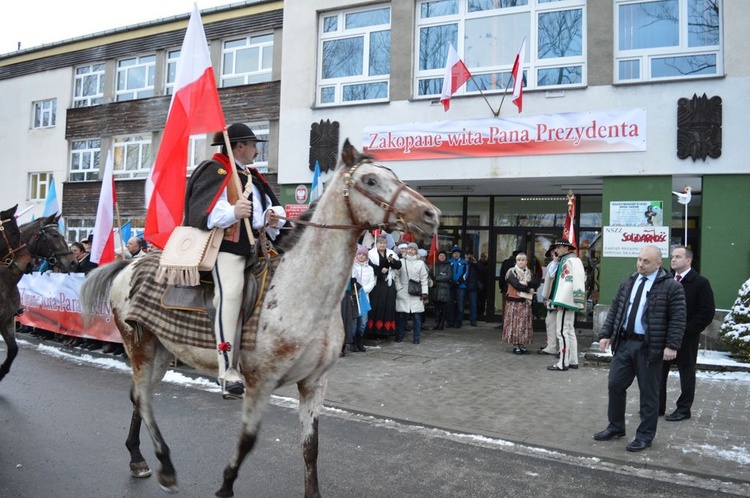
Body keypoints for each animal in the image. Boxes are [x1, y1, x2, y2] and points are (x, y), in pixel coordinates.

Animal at [78, 141, 440, 498]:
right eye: (370, 181)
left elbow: (311, 448)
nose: (431, 215)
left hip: (163, 350)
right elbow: (248, 440)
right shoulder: (259, 383)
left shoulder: (315, 383)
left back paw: (137, 458)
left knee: (141, 397)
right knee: (142, 397)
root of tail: (129, 264)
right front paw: (225, 486)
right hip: (138, 345)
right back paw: (165, 467)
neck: (302, 294)